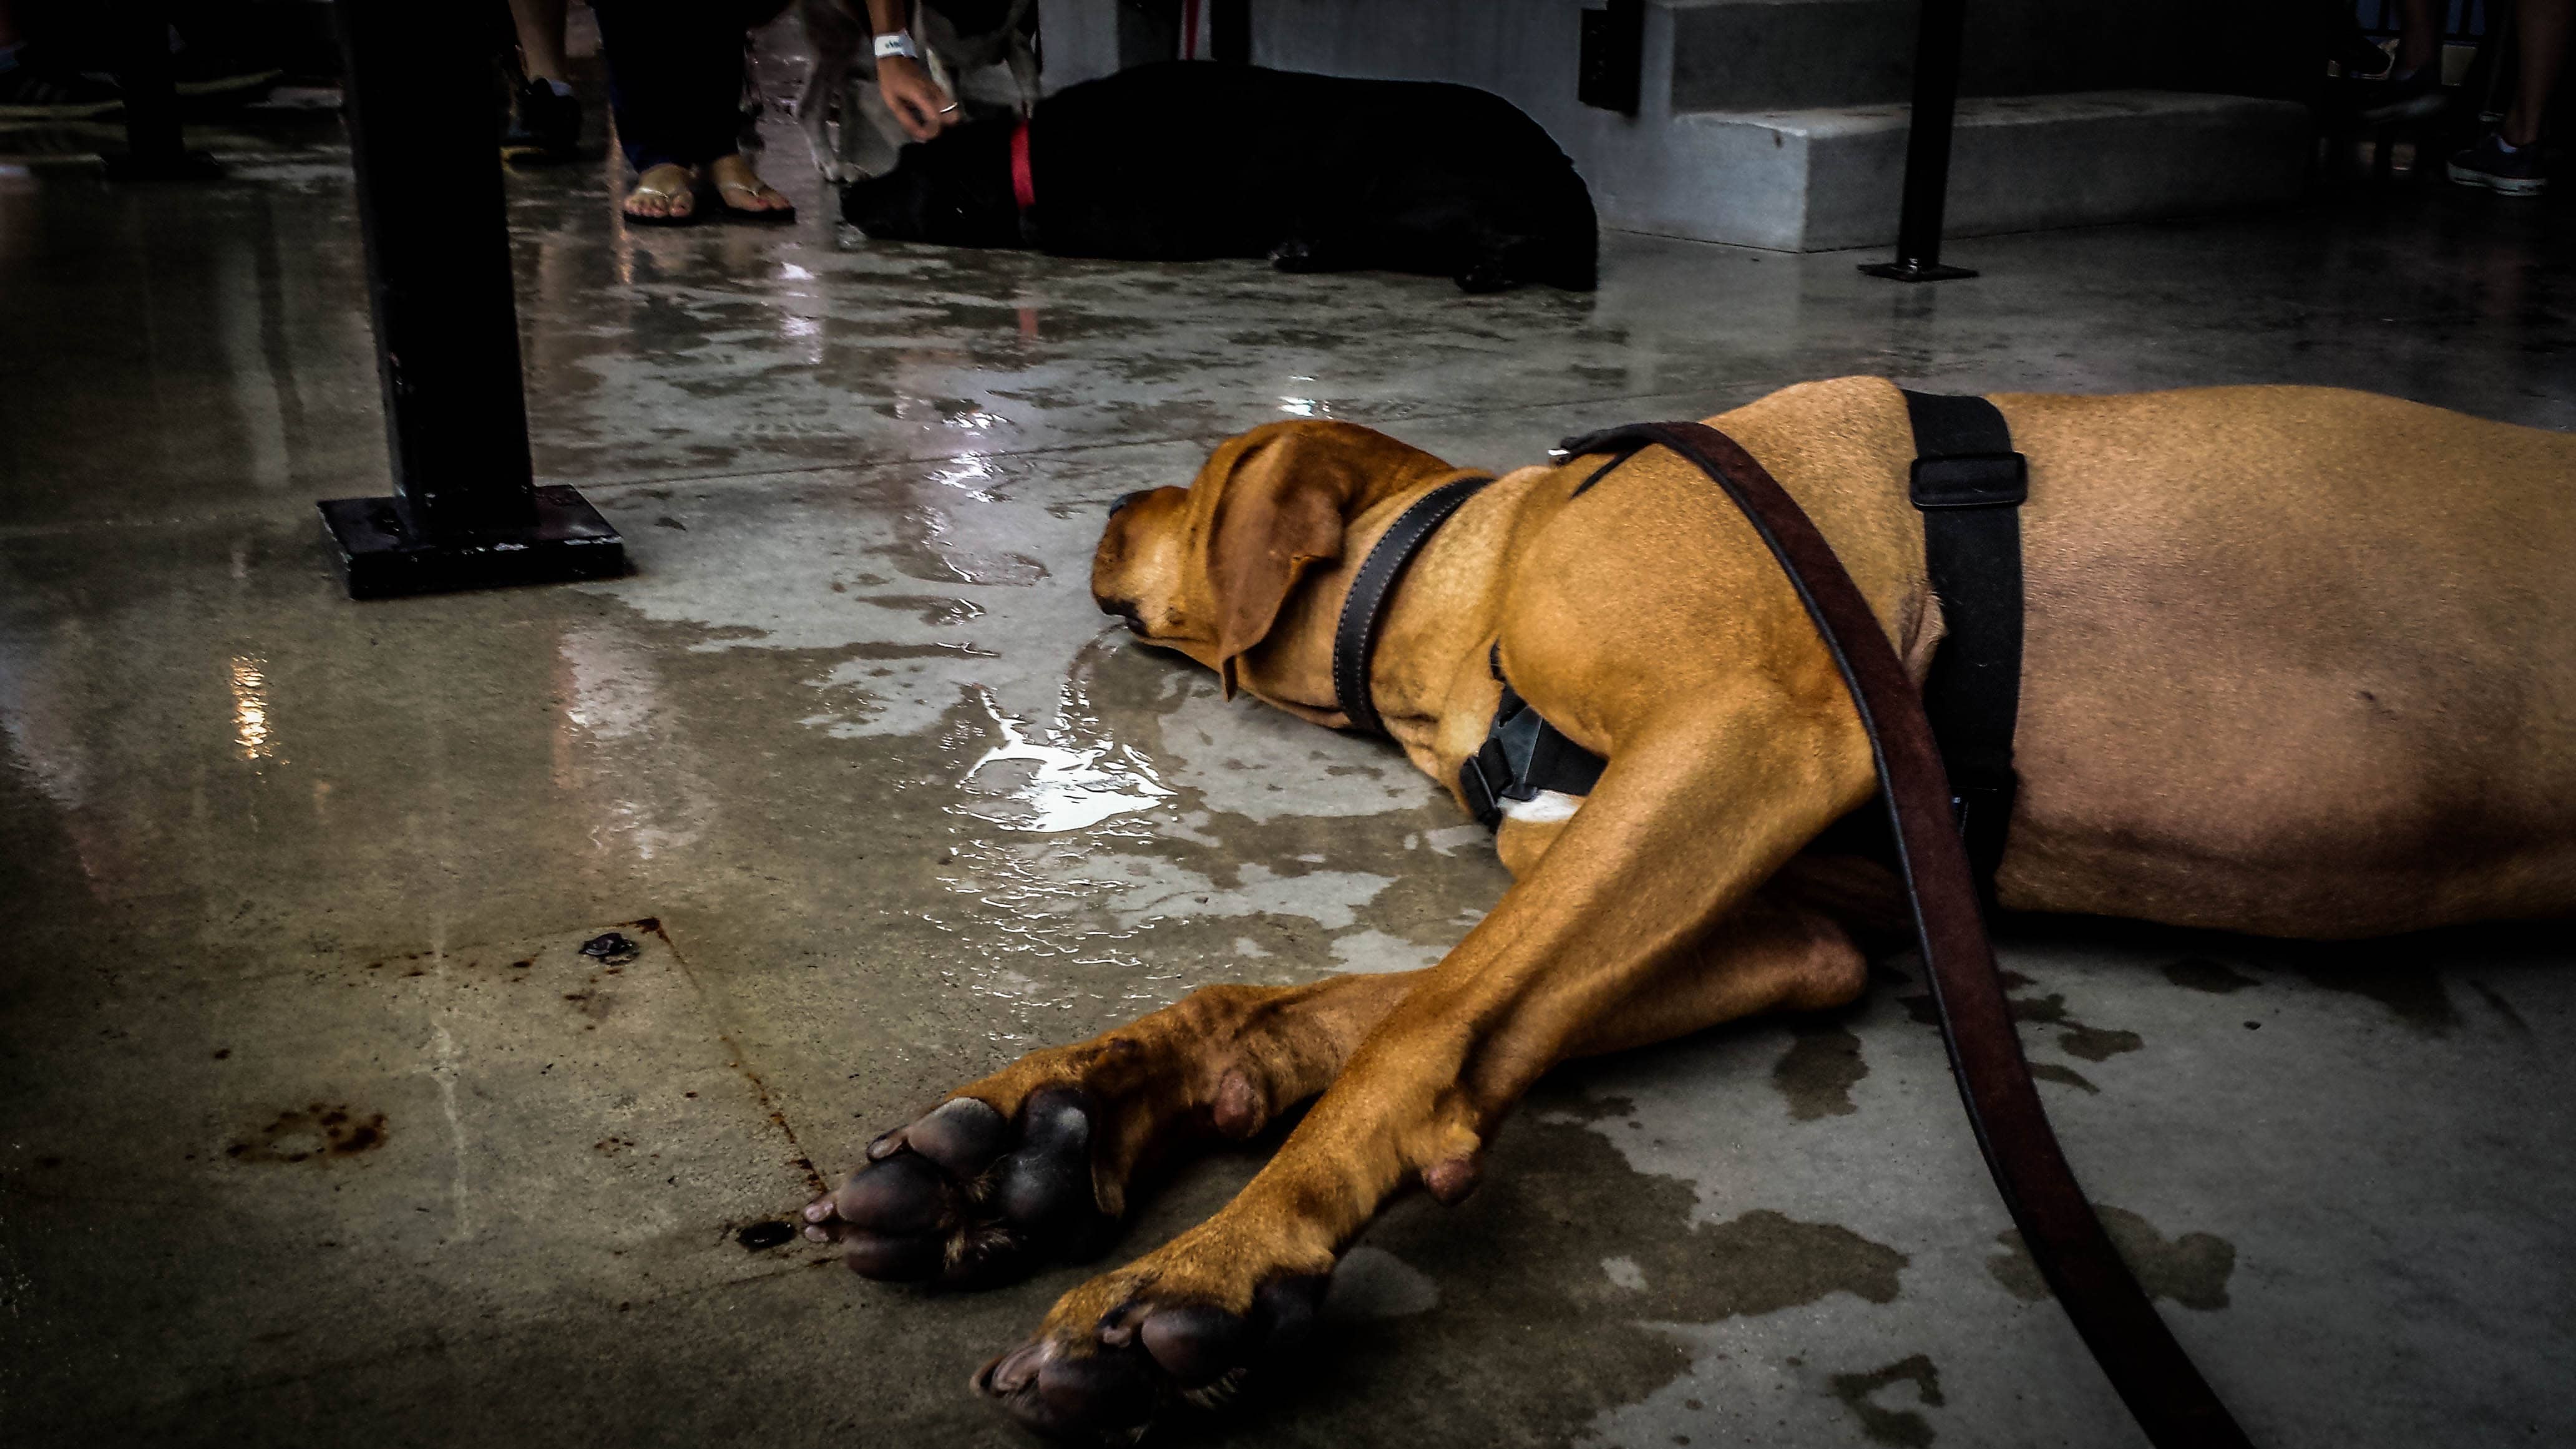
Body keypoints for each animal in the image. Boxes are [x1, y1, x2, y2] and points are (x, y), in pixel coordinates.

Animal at [803, 371, 2576, 1433]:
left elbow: (1426, 1026)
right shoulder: (1796, 922)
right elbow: (1363, 1007)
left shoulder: (1754, 725)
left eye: (1194, 480)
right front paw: (1060, 1121)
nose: (1107, 508)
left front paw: (1215, 1266)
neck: (1478, 560)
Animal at [844, 60, 1597, 290]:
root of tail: (1566, 173)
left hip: (1407, 184)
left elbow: (1039, 227)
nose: (848, 191)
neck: (1030, 155)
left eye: (905, 173)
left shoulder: (1140, 223)